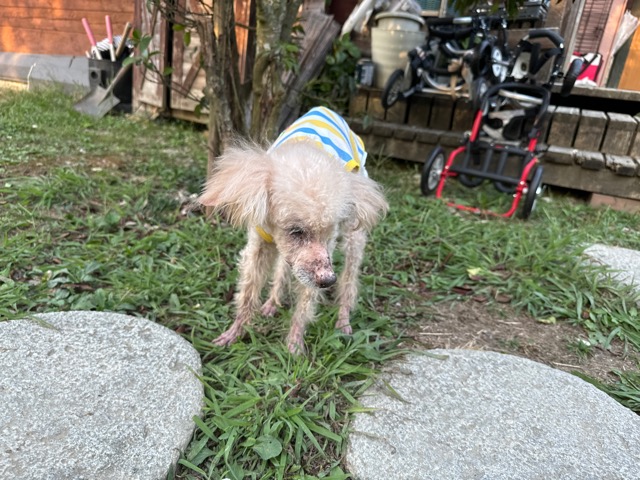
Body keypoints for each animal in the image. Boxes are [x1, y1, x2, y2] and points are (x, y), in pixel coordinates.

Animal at [198, 106, 388, 353]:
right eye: (296, 231)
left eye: (330, 234)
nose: (328, 281)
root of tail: (327, 109)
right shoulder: (261, 243)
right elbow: (248, 291)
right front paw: (235, 332)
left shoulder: (320, 260)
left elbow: (305, 303)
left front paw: (294, 346)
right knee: (283, 267)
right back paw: (272, 303)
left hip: (353, 238)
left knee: (349, 279)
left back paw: (343, 320)